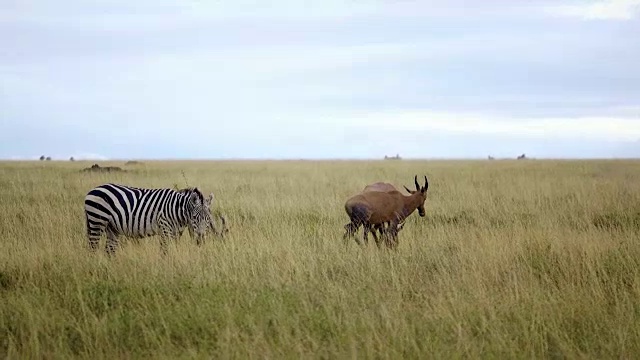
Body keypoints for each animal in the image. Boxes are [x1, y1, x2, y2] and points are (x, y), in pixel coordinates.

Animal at [84, 183, 214, 256]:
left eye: (208, 219)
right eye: (194, 218)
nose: (201, 240)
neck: (177, 210)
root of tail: (92, 190)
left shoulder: (176, 232)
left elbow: (171, 250)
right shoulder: (165, 228)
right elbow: (165, 251)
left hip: (112, 228)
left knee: (109, 251)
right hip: (97, 221)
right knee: (92, 248)